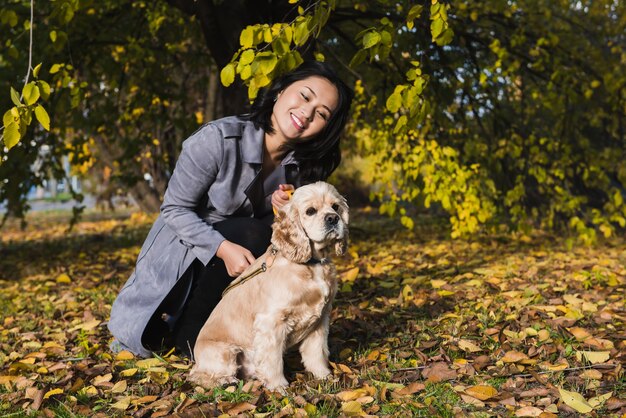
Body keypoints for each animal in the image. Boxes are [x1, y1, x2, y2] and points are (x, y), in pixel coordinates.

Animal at [188, 182, 348, 392]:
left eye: (335, 207)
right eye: (310, 211)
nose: (333, 218)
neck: (312, 265)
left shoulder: (321, 319)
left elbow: (317, 351)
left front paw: (324, 376)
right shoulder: (271, 322)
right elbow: (273, 359)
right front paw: (278, 386)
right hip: (225, 353)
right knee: (197, 375)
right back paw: (225, 381)